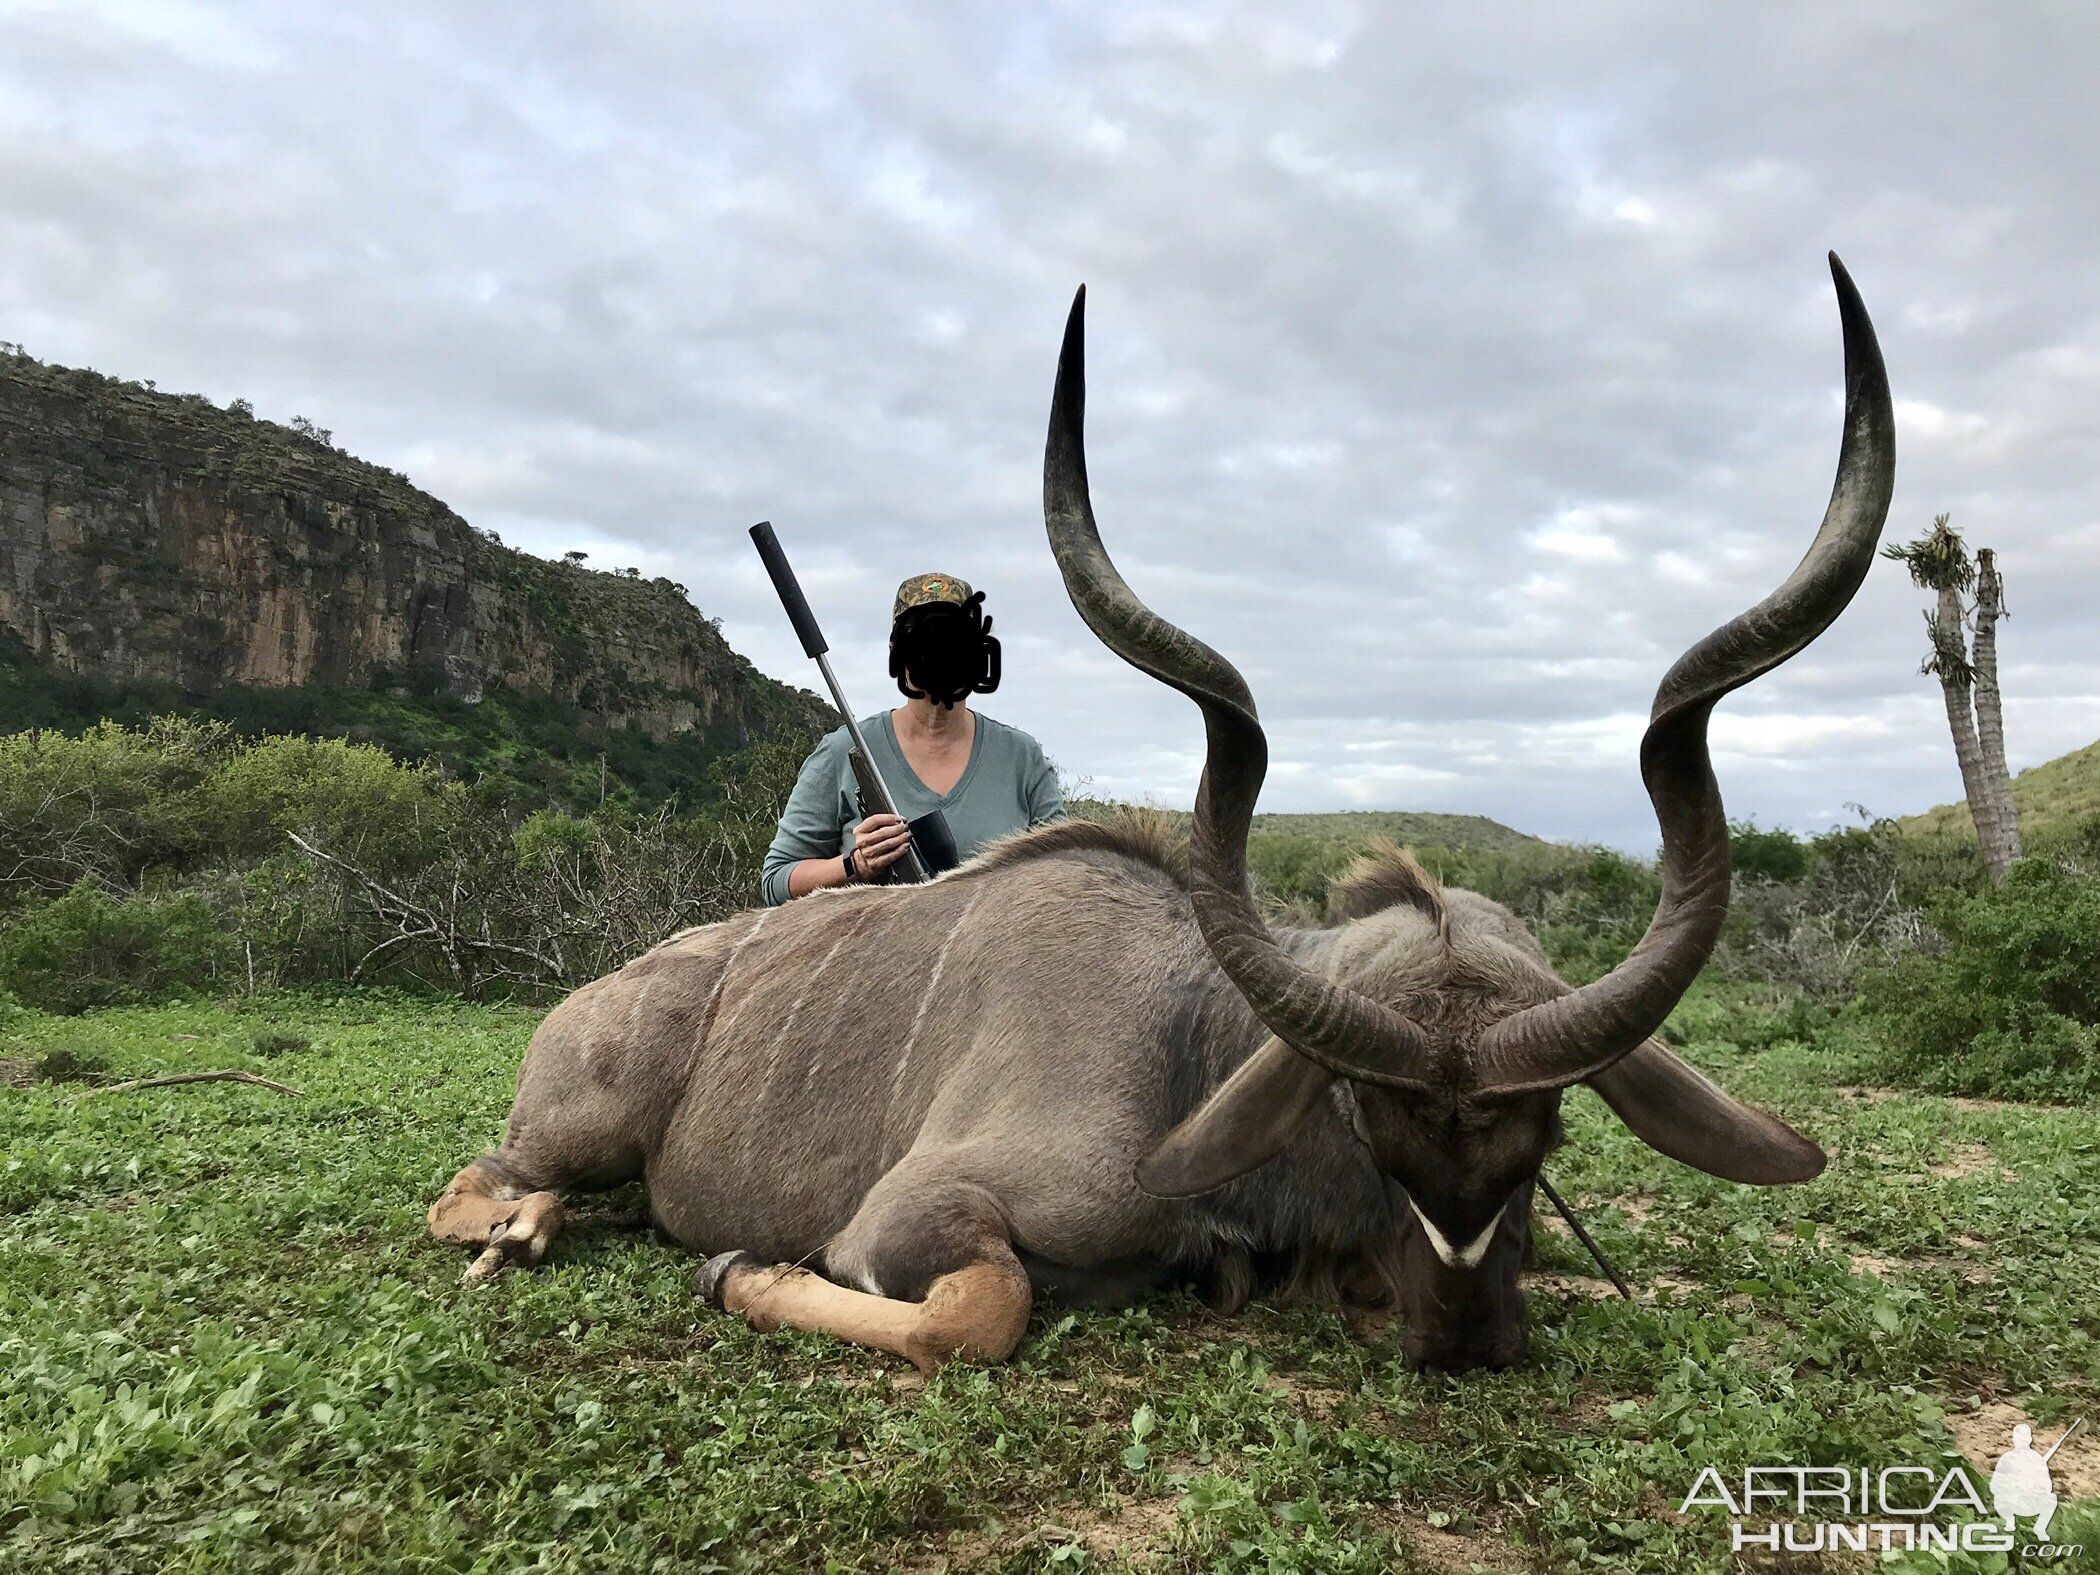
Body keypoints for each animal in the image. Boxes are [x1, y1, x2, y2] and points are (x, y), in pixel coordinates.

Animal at [434, 256, 1898, 1369]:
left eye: (1550, 1134)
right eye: (1367, 1120)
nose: (1468, 1342)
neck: (1194, 1044)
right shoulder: (914, 1216)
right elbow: (977, 1308)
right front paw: (735, 1268)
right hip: (578, 1121)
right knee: (480, 1180)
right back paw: (521, 1230)